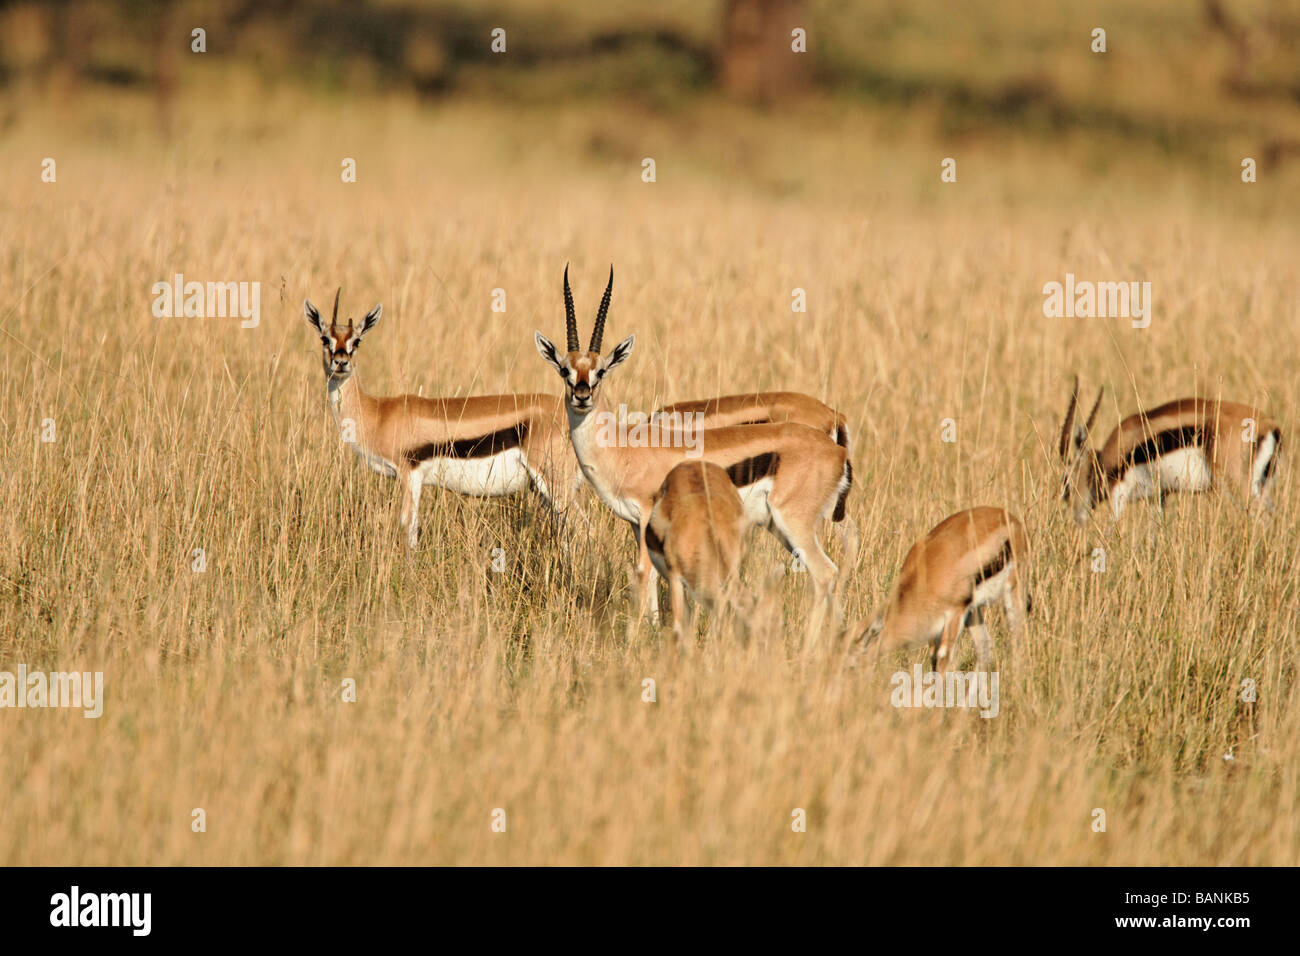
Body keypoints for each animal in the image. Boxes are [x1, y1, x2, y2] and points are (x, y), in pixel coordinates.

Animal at [304, 289, 582, 549]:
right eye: (325, 338)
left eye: (357, 340)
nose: (341, 362)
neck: (378, 412)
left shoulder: (409, 475)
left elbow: (408, 526)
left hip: (555, 483)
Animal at [856, 507, 1030, 674]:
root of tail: (1011, 518)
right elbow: (934, 659)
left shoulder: (955, 614)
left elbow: (943, 659)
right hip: (973, 612)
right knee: (985, 648)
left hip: (1011, 592)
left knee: (1017, 638)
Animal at [1059, 377, 1282, 525]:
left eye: (1067, 482)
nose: (1076, 517)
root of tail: (1270, 426)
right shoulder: (1158, 497)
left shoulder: (1118, 495)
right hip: (1263, 486)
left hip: (1239, 487)